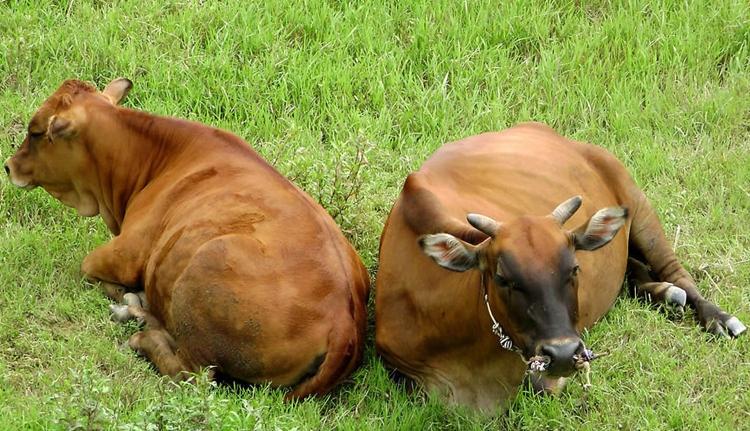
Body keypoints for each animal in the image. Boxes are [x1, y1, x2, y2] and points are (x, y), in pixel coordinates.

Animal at [5, 77, 370, 398]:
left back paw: (140, 333)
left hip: (207, 268)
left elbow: (89, 269)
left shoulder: (123, 255)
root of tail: (343, 320)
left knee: (193, 374)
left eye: (35, 132)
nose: (9, 166)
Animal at [376, 123, 748, 414]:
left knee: (675, 270)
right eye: (502, 278)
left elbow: (542, 386)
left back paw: (715, 315)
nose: (564, 353)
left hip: (637, 201)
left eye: (574, 270)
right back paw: (663, 292)